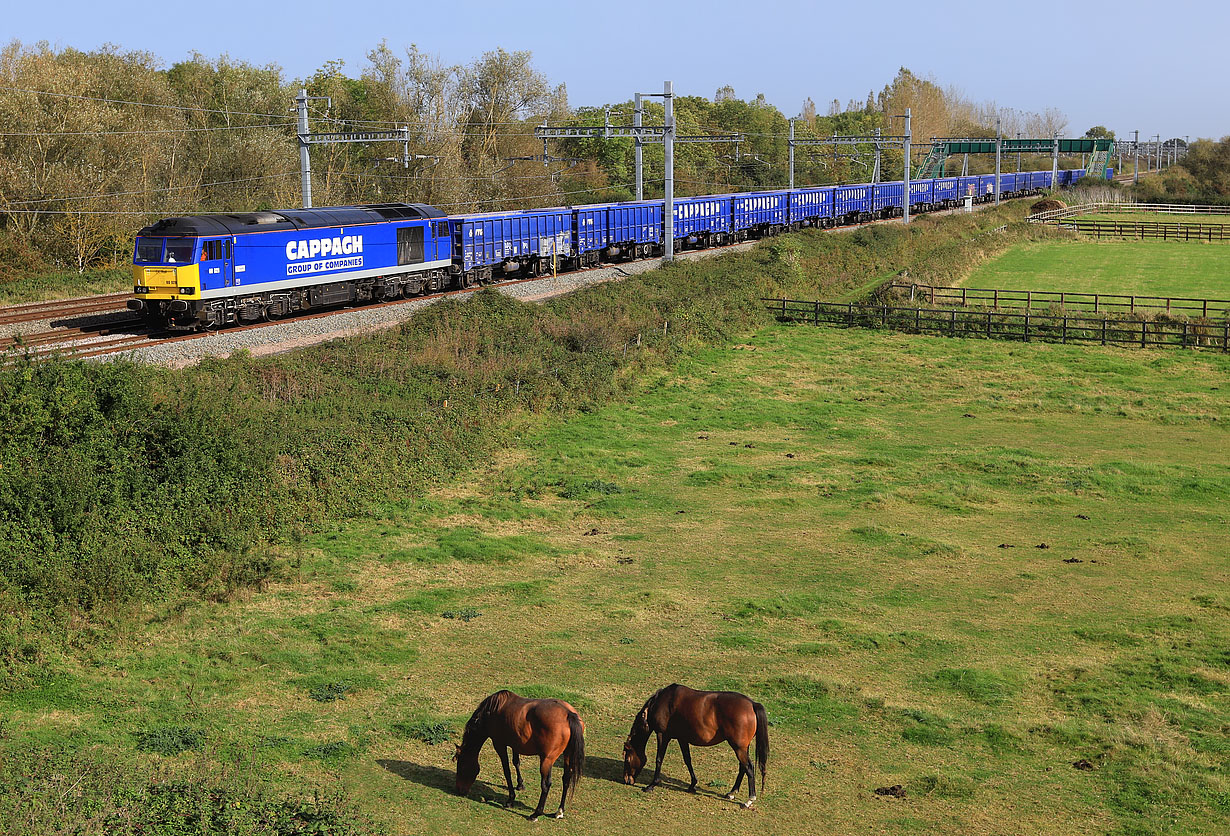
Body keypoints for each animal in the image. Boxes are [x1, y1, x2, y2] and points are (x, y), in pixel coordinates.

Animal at [455, 688, 583, 821]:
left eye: (461, 766)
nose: (459, 790)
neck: (492, 711)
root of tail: (568, 713)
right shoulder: (515, 744)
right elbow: (516, 762)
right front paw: (520, 784)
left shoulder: (499, 744)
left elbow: (506, 771)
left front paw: (511, 799)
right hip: (567, 755)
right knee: (566, 779)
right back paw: (559, 811)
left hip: (546, 760)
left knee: (546, 785)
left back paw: (536, 814)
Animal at [624, 683, 767, 806]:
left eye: (627, 758)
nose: (627, 780)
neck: (661, 702)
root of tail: (752, 704)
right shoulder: (682, 739)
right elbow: (687, 760)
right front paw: (692, 785)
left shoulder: (662, 735)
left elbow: (659, 759)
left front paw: (652, 785)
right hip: (741, 747)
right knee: (743, 767)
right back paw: (732, 793)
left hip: (738, 747)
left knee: (748, 767)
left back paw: (749, 800)